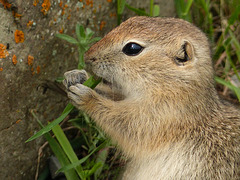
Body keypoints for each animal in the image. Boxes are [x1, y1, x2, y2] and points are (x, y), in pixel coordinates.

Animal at [63, 16, 240, 179]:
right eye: (130, 19)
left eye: (133, 48)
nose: (88, 56)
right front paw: (75, 76)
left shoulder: (160, 117)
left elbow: (123, 123)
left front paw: (87, 96)